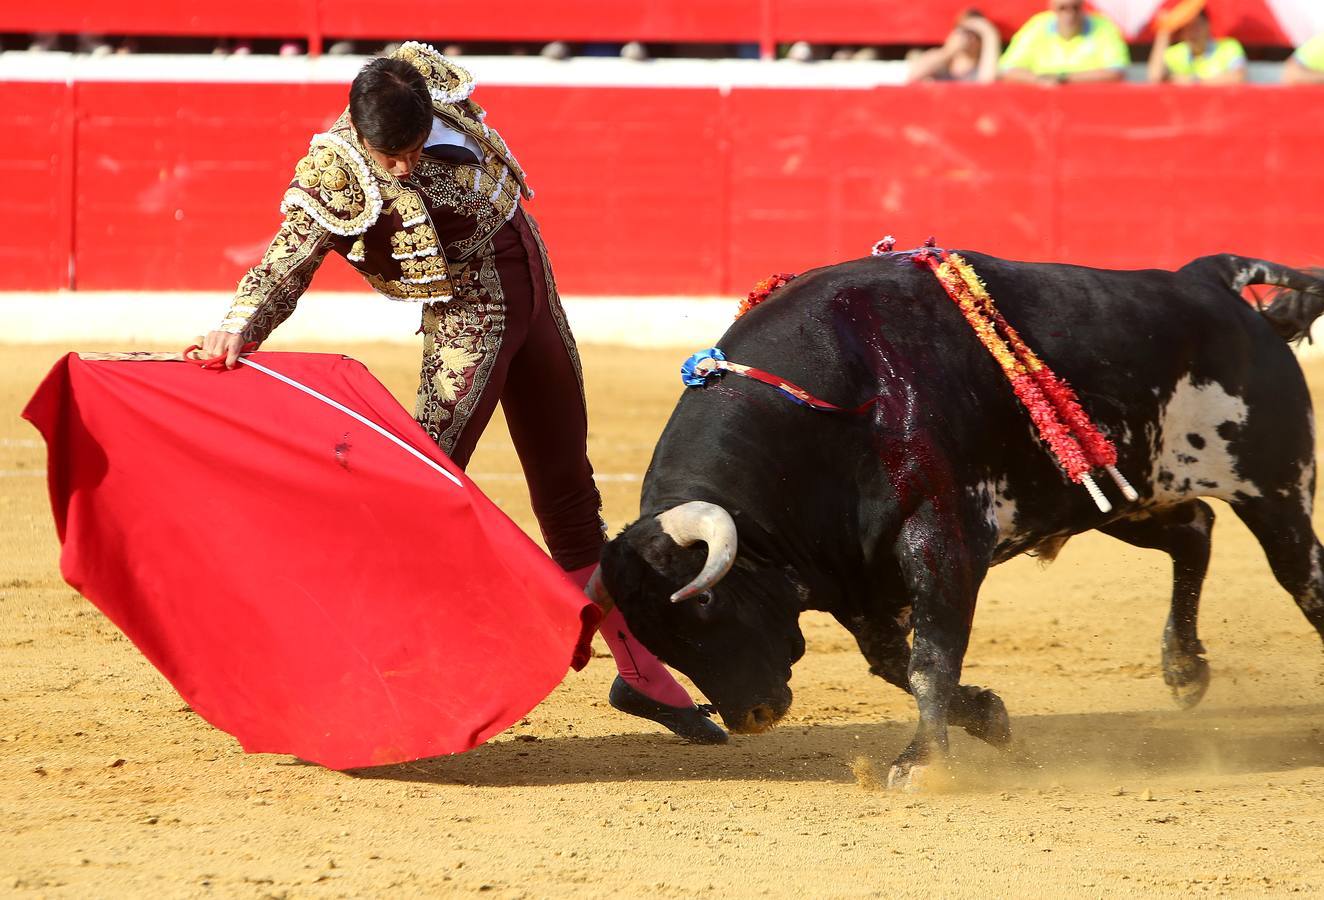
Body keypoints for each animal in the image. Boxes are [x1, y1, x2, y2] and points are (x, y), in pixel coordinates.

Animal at [598, 251, 1324, 788]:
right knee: (1195, 530)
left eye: (705, 602)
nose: (750, 716)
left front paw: (921, 765)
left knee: (1301, 575)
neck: (841, 406)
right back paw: (1183, 668)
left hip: (1274, 487)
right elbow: (896, 663)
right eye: (651, 636)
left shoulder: (940, 538)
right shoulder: (859, 574)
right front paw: (992, 719)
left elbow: (929, 659)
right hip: (1117, 495)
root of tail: (1211, 281)